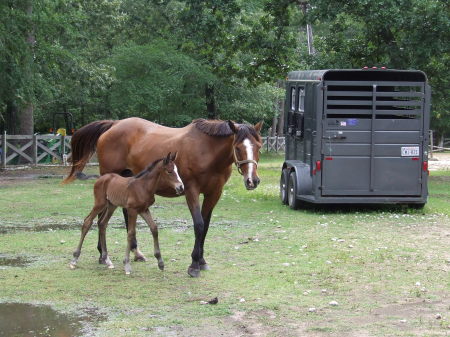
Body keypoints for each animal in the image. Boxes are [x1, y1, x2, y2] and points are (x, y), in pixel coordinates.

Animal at [62, 117, 264, 276]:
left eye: (259, 147)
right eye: (238, 148)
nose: (252, 180)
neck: (207, 150)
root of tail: (114, 124)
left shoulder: (214, 193)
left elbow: (205, 227)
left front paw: (202, 261)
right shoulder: (191, 191)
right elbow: (198, 225)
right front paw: (194, 265)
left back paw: (135, 253)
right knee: (99, 218)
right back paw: (103, 256)